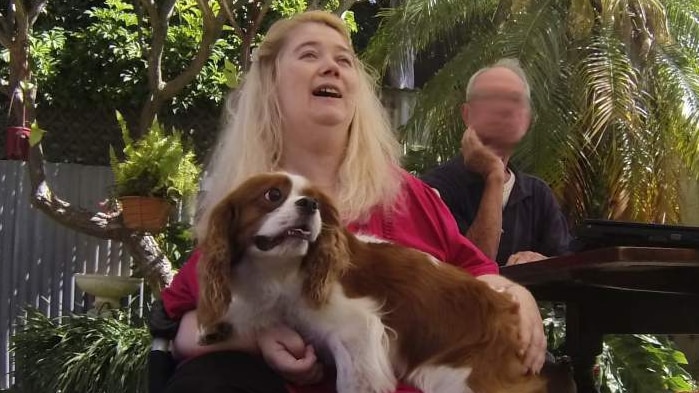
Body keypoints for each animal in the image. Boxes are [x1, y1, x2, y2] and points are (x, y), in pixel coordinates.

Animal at [197, 172, 548, 392]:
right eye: (272, 195)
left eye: (314, 200)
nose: (309, 205)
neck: (285, 270)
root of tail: (503, 304)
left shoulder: (358, 331)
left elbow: (354, 381)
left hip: (459, 378)